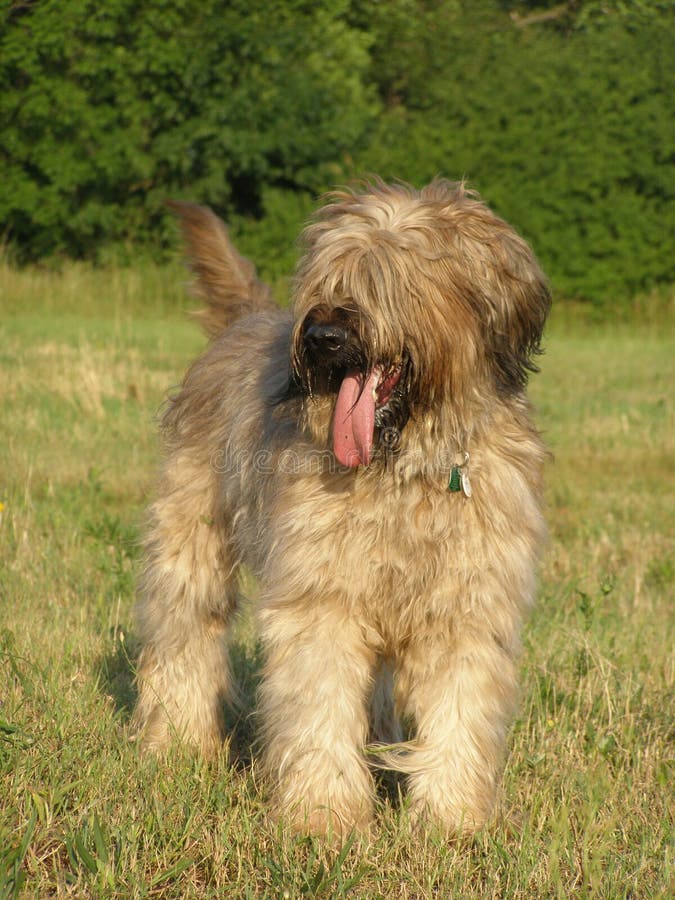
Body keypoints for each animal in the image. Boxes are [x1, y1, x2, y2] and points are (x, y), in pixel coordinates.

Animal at [131, 179, 548, 840]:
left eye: (392, 278)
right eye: (329, 278)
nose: (323, 336)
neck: (405, 468)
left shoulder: (468, 606)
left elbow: (460, 711)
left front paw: (452, 820)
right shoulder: (322, 597)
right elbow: (319, 701)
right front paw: (324, 817)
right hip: (191, 536)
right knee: (186, 628)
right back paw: (175, 743)